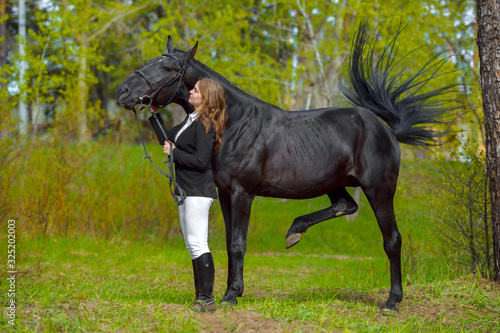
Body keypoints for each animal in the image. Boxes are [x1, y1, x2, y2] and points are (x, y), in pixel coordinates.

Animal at [116, 24, 458, 312]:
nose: (123, 92)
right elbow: (227, 243)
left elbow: (238, 244)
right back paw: (295, 232)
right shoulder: (224, 194)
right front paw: (231, 291)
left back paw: (392, 302)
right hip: (334, 182)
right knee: (345, 205)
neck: (234, 124)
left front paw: (231, 296)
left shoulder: (243, 193)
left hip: (380, 190)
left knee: (392, 240)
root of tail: (385, 129)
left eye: (167, 67)